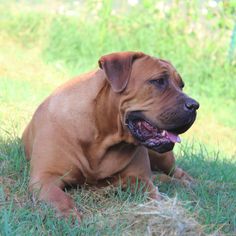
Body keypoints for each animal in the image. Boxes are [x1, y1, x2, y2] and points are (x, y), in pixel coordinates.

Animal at [22, 50, 199, 220]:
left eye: (181, 85)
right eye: (158, 81)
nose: (194, 105)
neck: (103, 134)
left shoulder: (140, 178)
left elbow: (152, 193)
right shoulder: (46, 177)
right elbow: (59, 197)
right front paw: (69, 215)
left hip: (163, 158)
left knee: (175, 171)